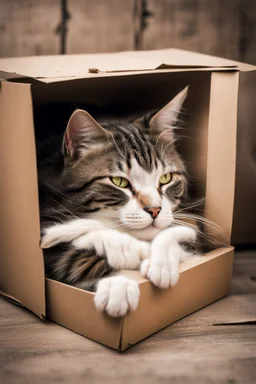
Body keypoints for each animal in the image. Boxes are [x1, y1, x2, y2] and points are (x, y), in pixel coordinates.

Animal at [38, 87, 199, 318]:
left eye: (166, 178)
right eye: (119, 181)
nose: (155, 210)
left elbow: (183, 232)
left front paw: (162, 260)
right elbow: (70, 254)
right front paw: (121, 277)